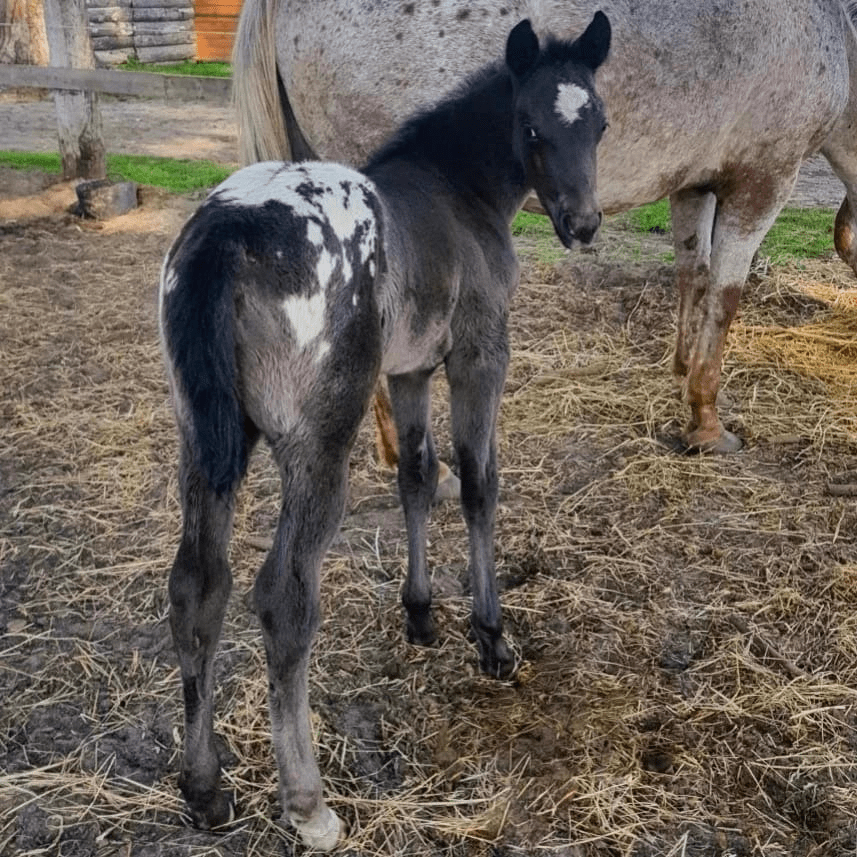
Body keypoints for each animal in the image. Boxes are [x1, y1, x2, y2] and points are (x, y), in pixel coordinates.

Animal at [159, 15, 611, 849]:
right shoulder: (478, 355)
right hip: (317, 446)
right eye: (532, 125)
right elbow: (476, 482)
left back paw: (204, 789)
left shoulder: (407, 372)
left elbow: (416, 476)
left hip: (201, 440)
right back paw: (308, 804)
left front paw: (420, 612)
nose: (582, 223)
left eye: (597, 122)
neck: (456, 191)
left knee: (196, 585)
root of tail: (229, 232)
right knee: (282, 597)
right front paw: (490, 636)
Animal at [234, 0, 857, 455]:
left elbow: (694, 277)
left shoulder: (693, 185)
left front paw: (680, 372)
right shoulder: (762, 183)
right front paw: (705, 419)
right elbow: (725, 299)